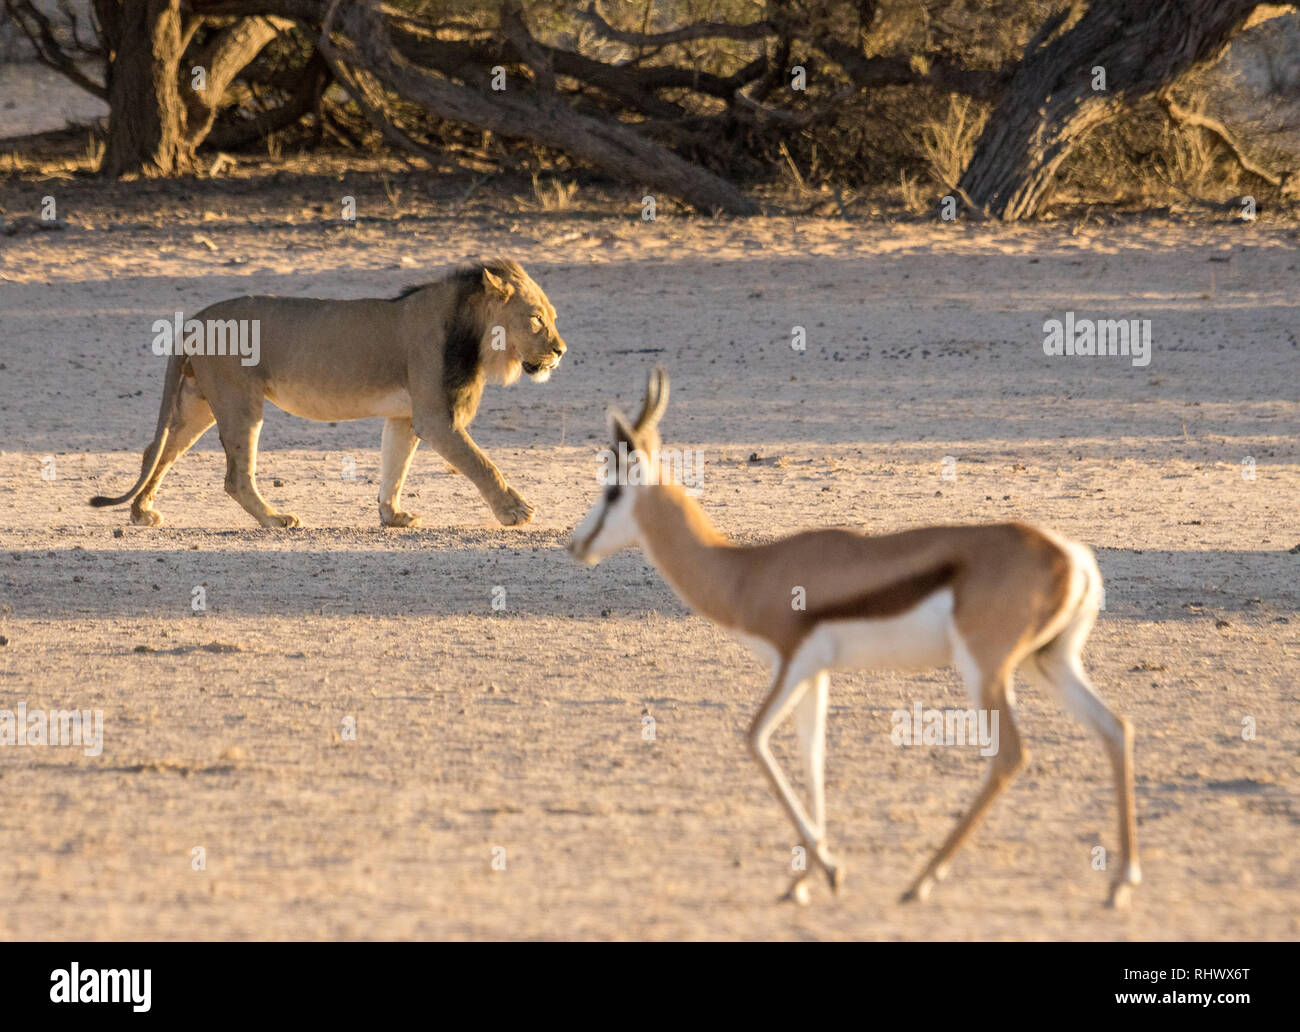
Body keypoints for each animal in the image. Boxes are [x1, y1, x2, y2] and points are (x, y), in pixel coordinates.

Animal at [86, 257, 564, 530]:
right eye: (536, 319)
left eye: (553, 317)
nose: (561, 352)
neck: (475, 336)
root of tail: (195, 321)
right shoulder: (435, 418)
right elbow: (483, 464)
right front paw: (515, 512)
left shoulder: (406, 416)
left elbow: (394, 467)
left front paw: (392, 516)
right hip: (240, 403)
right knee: (235, 477)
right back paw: (276, 519)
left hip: (196, 404)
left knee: (156, 452)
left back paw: (141, 512)